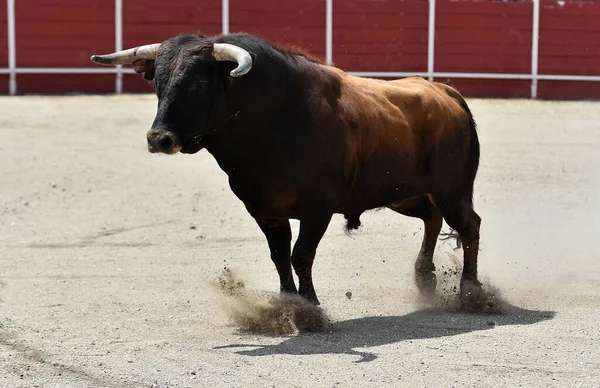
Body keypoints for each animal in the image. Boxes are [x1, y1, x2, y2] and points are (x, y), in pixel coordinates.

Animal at [90, 32, 492, 306]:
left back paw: (471, 291)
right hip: (403, 194)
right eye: (157, 83)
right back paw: (425, 278)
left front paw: (310, 307)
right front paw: (289, 303)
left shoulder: (318, 208)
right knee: (433, 218)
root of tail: (446, 92)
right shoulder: (264, 210)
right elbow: (280, 255)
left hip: (450, 189)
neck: (271, 121)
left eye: (200, 82)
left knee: (468, 224)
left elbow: (302, 254)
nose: (159, 139)